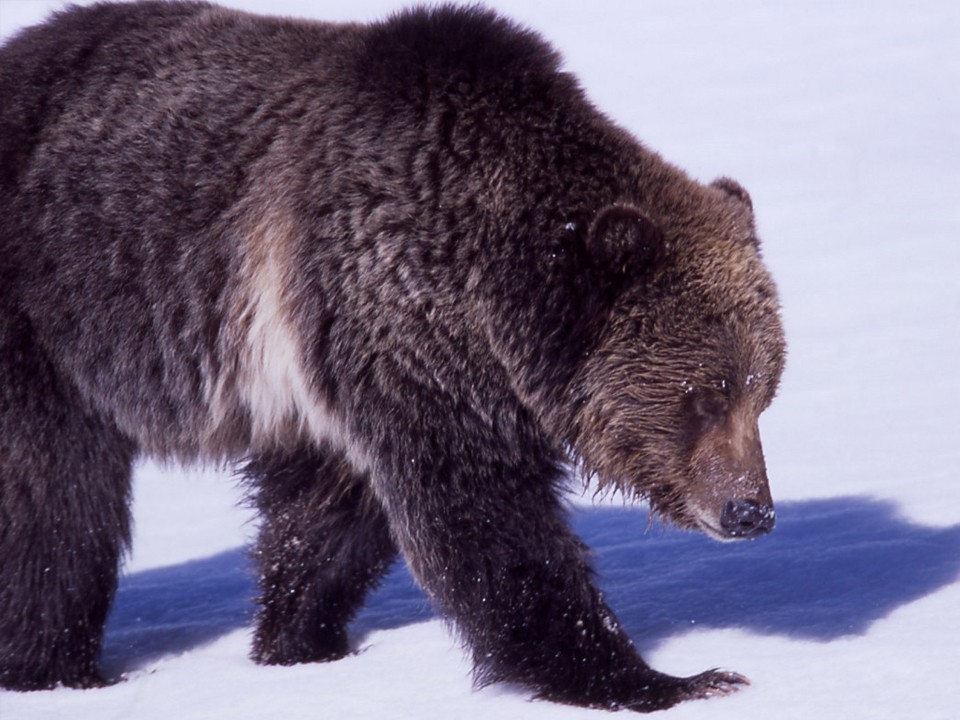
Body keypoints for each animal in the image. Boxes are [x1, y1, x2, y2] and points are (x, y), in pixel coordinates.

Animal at [0, 1, 780, 716]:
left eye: (761, 390)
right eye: (702, 394)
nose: (750, 510)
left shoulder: (342, 371)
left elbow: (326, 518)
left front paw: (298, 638)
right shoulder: (398, 316)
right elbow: (486, 522)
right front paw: (663, 678)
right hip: (48, 315)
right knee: (55, 502)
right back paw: (55, 665)